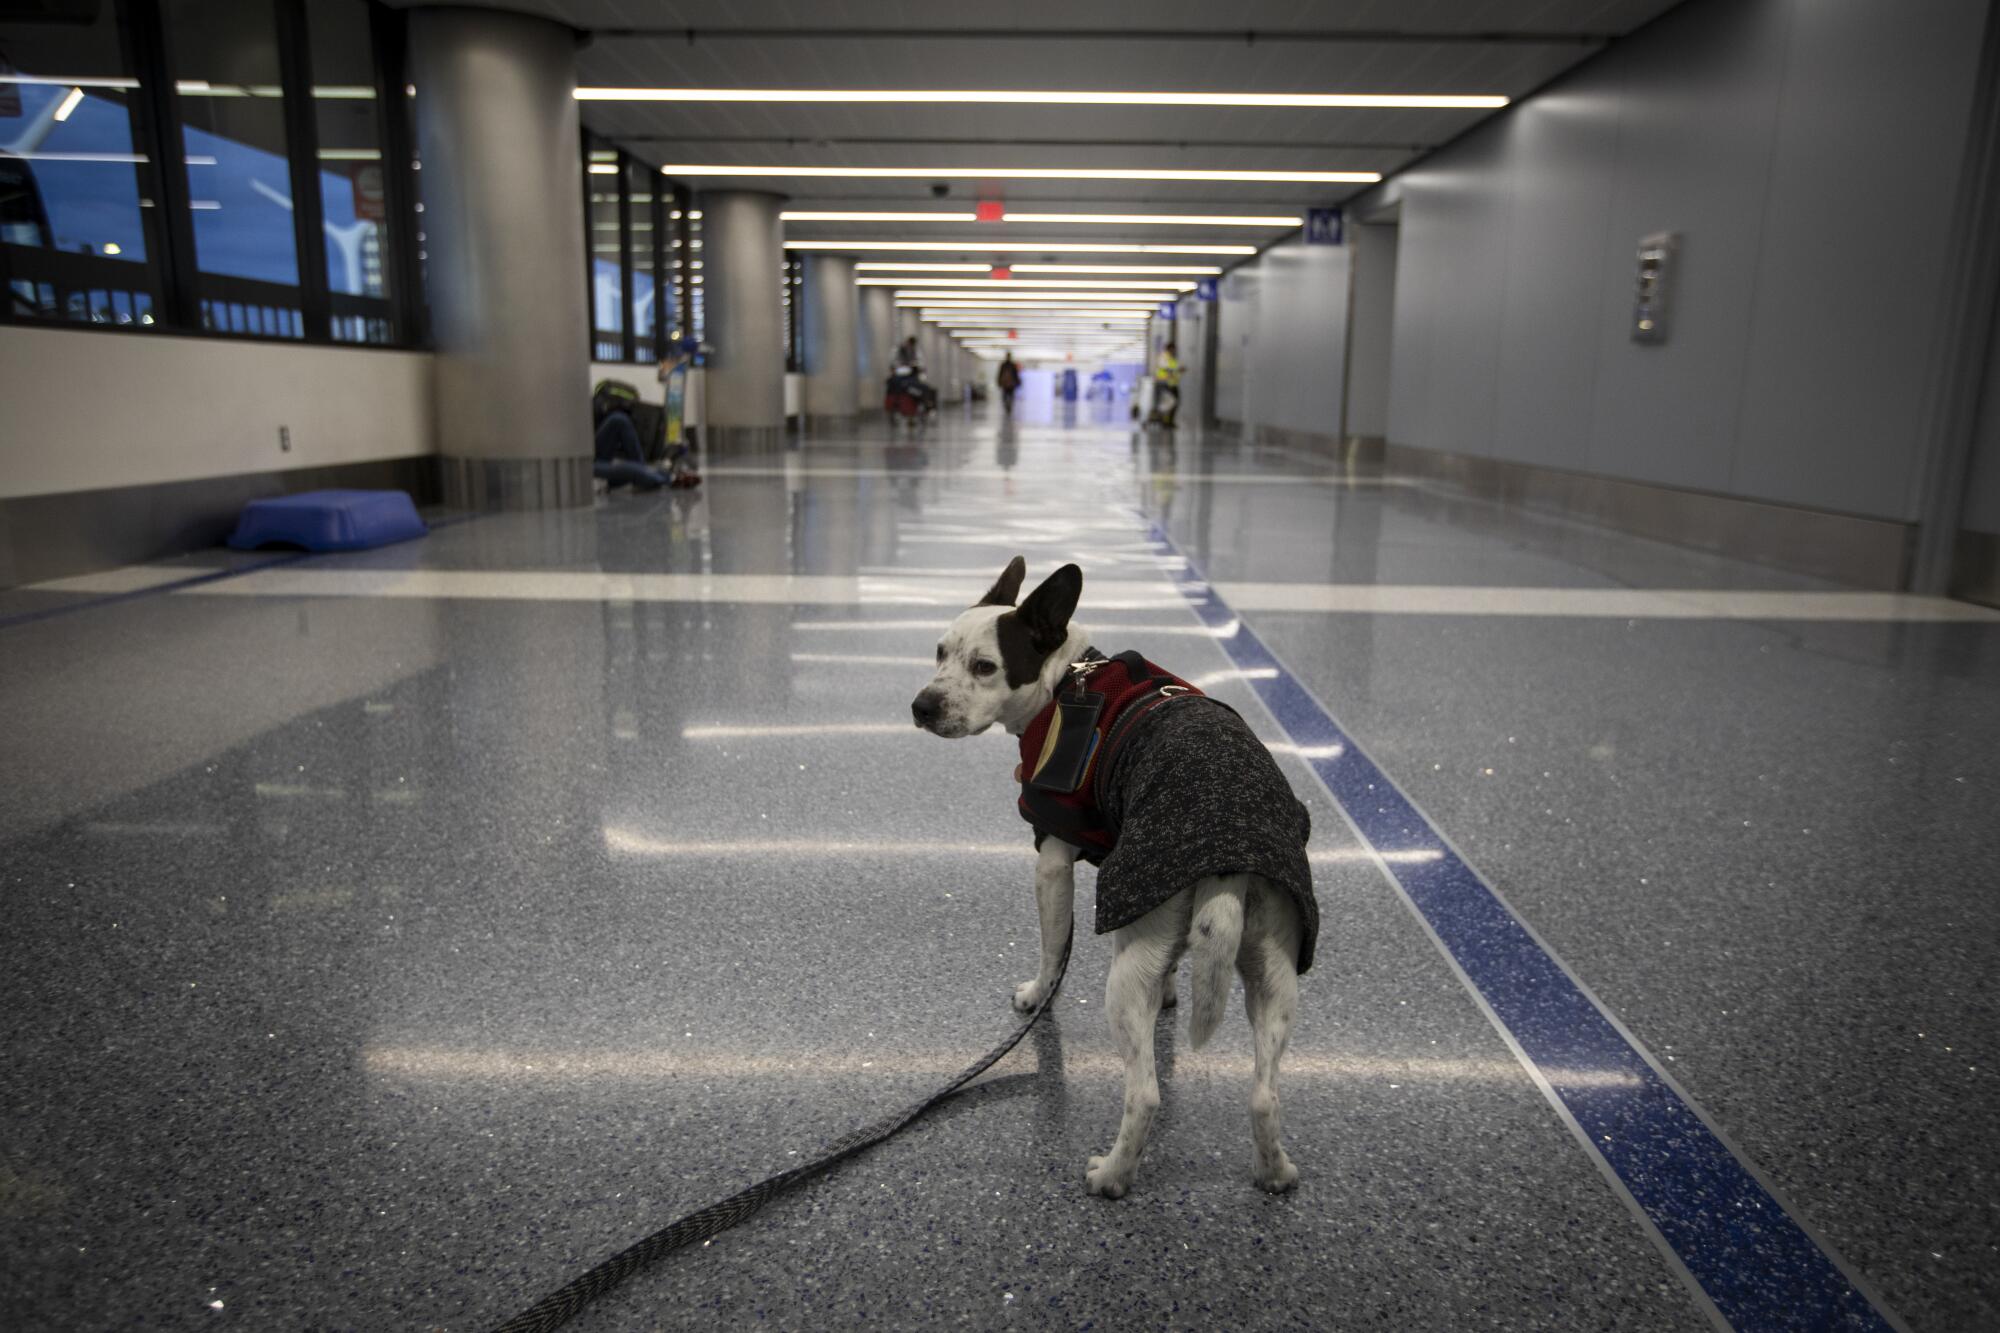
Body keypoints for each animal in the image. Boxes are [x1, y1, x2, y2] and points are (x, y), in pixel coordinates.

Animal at [916, 552, 1320, 1192]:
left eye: (984, 667)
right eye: (938, 652)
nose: (921, 707)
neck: (1067, 682)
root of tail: (1228, 862)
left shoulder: (1053, 860)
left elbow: (1053, 947)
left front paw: (1038, 997)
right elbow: (1173, 963)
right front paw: (1173, 991)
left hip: (1125, 982)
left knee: (1146, 1094)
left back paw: (1111, 1176)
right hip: (1274, 973)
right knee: (1264, 1095)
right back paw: (1274, 1174)